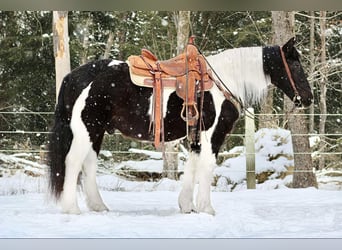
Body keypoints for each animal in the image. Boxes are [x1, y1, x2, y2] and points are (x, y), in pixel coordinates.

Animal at [47, 37, 312, 215]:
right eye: (296, 65)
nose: (308, 98)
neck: (222, 81)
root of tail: (74, 76)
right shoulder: (212, 134)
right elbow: (206, 166)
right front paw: (207, 209)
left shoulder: (195, 136)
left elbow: (192, 167)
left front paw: (187, 206)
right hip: (86, 129)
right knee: (73, 162)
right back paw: (72, 209)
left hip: (96, 131)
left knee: (88, 164)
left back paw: (98, 206)